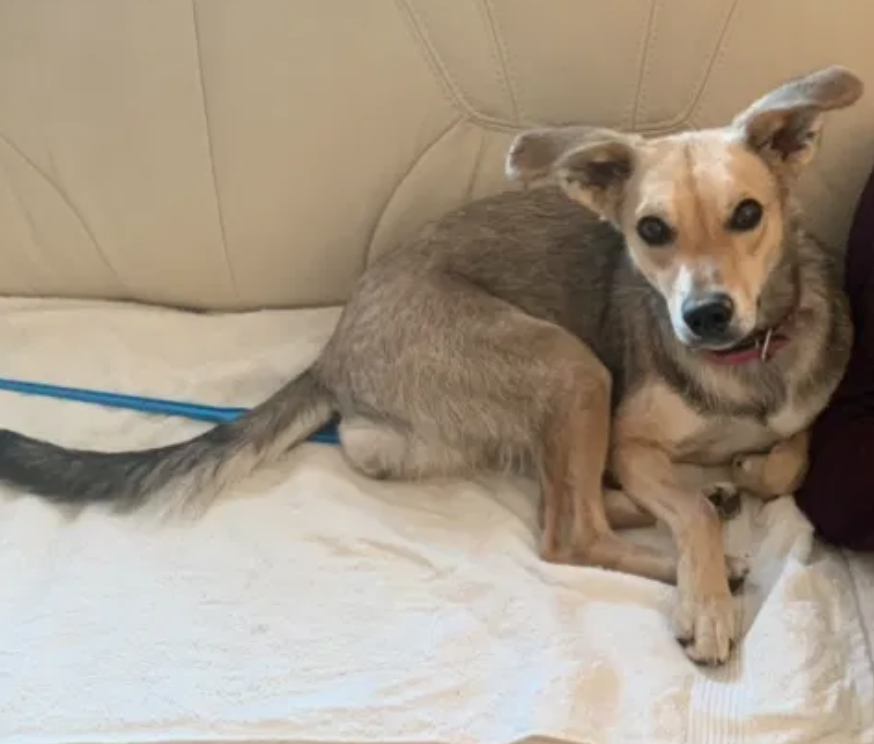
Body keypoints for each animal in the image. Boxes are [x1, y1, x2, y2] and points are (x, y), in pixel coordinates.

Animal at [0, 66, 861, 665]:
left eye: (747, 214)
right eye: (651, 230)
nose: (703, 316)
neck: (745, 364)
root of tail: (337, 347)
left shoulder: (792, 416)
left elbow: (783, 461)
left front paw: (738, 475)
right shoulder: (626, 432)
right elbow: (685, 511)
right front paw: (704, 597)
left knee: (560, 489)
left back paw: (699, 492)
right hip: (571, 366)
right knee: (567, 528)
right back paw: (688, 549)